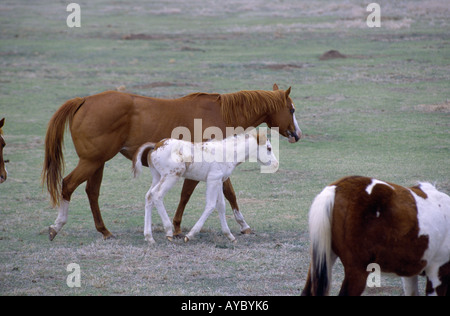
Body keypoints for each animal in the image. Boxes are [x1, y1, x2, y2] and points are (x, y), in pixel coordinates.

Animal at [132, 130, 278, 243]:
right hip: (171, 177)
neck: (227, 152)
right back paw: (168, 231)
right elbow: (210, 205)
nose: (276, 164)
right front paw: (190, 235)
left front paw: (229, 235)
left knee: (149, 196)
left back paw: (149, 237)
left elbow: (221, 206)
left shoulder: (219, 181)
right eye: (269, 148)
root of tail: (156, 145)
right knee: (157, 195)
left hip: (157, 177)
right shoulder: (213, 180)